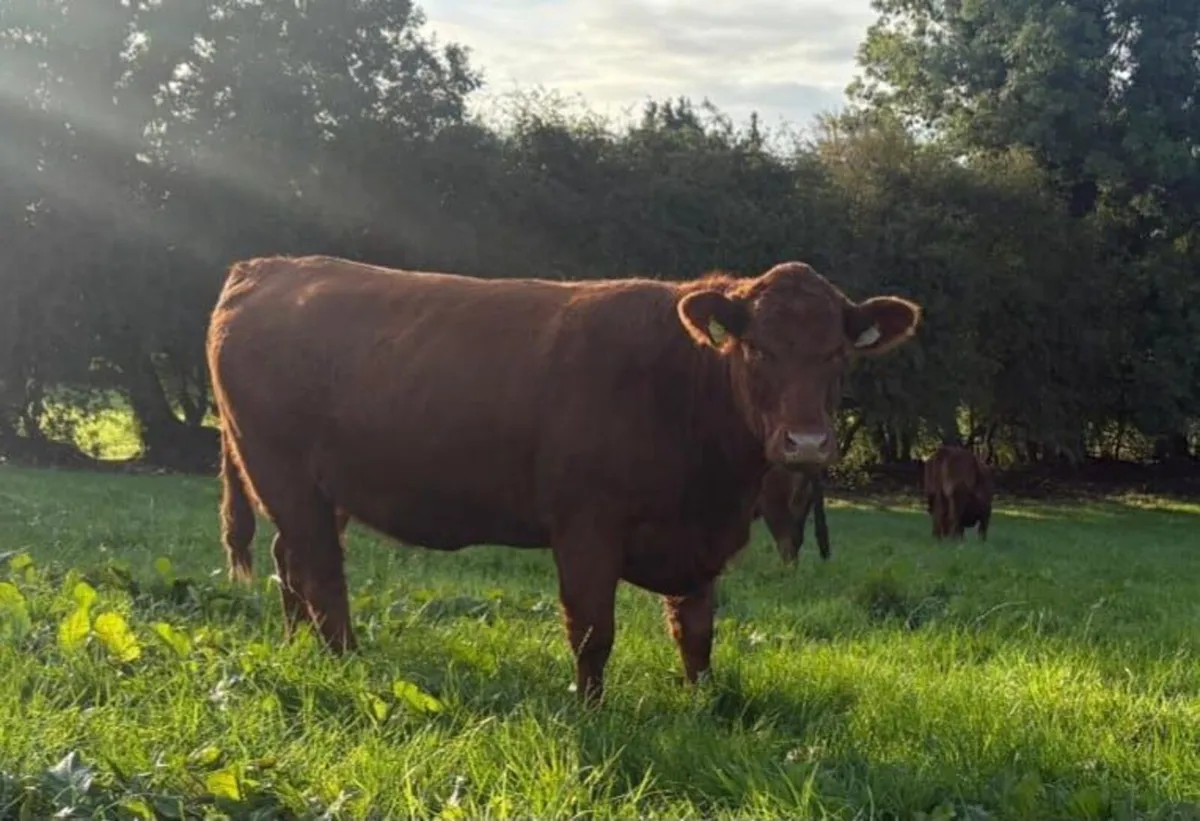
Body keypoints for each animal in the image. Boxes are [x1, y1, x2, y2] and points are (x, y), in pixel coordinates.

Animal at [207, 254, 921, 702]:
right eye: (757, 349)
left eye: (837, 353)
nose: (807, 442)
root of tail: (268, 267)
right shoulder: (586, 527)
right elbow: (592, 631)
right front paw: (591, 709)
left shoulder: (700, 544)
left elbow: (696, 632)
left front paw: (700, 703)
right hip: (279, 468)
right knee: (321, 573)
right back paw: (346, 662)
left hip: (321, 489)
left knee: (290, 560)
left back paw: (297, 647)